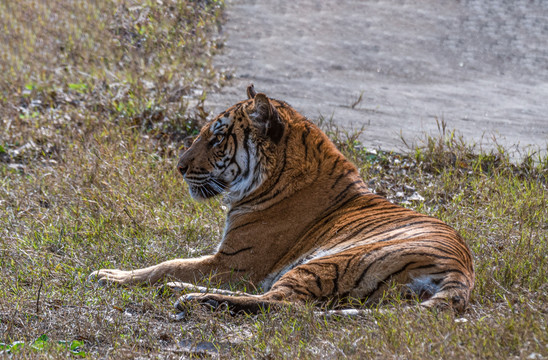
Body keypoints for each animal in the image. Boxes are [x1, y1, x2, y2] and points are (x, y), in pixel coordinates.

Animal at [88, 85, 474, 316]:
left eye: (217, 139)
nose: (179, 167)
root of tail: (461, 271)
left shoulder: (235, 263)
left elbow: (167, 263)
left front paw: (110, 275)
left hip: (327, 261)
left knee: (283, 303)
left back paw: (191, 297)